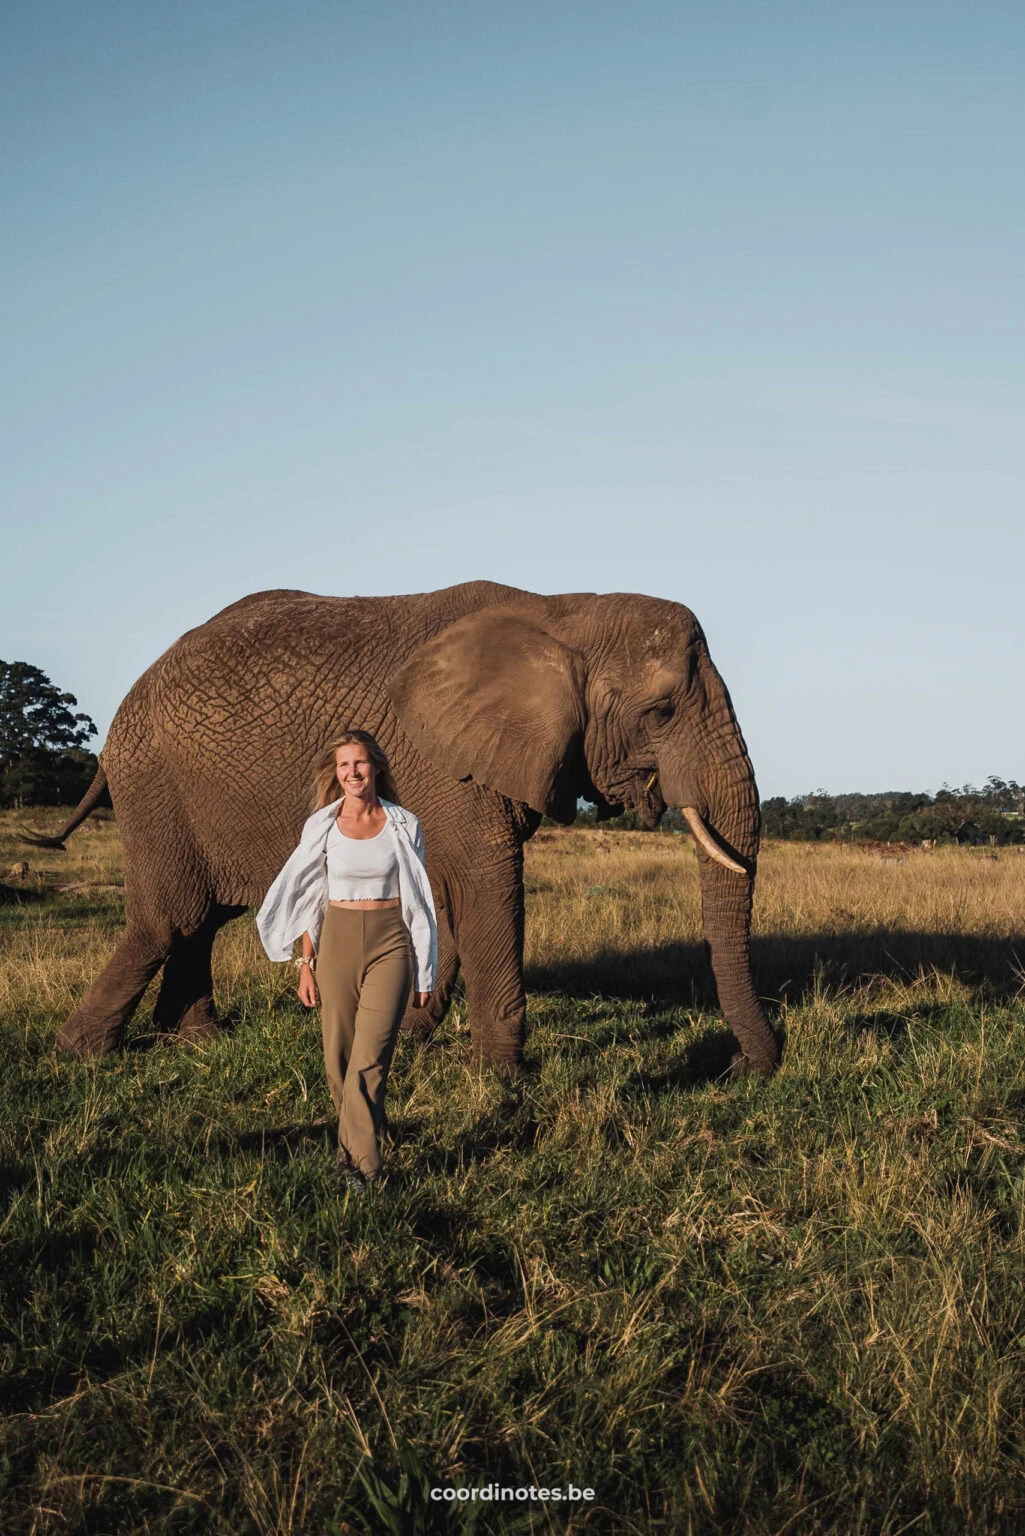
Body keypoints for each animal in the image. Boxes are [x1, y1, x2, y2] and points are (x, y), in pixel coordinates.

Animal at [28, 581, 780, 1076]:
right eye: (661, 712)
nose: (742, 1069)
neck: (563, 611)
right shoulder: (446, 759)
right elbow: (487, 887)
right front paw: (504, 1081)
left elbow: (444, 898)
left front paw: (412, 1037)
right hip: (154, 783)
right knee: (168, 918)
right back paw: (81, 1054)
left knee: (202, 920)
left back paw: (196, 1045)